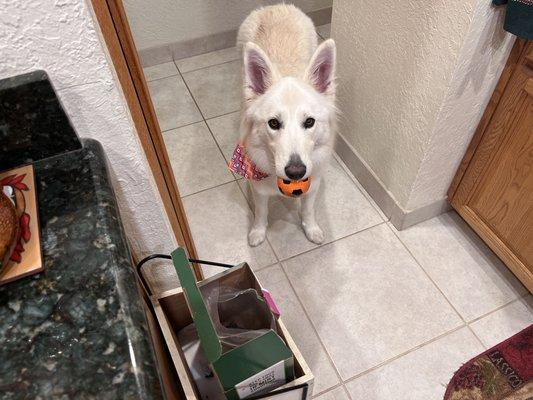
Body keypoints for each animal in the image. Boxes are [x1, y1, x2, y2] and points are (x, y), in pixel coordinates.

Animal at [229, 3, 336, 247]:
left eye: (309, 122)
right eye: (274, 123)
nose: (296, 172)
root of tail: (276, 6)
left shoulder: (313, 183)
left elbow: (308, 210)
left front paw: (312, 229)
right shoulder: (258, 188)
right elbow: (261, 213)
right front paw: (257, 232)